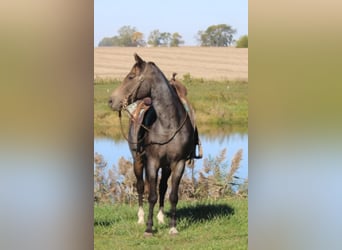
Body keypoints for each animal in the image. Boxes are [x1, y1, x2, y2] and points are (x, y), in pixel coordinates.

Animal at [108, 53, 199, 235]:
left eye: (131, 76)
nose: (111, 100)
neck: (168, 125)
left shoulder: (178, 163)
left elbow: (173, 196)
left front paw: (172, 227)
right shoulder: (152, 162)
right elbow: (151, 195)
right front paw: (149, 228)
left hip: (166, 166)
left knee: (162, 187)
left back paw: (161, 218)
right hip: (138, 161)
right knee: (141, 186)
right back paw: (141, 218)